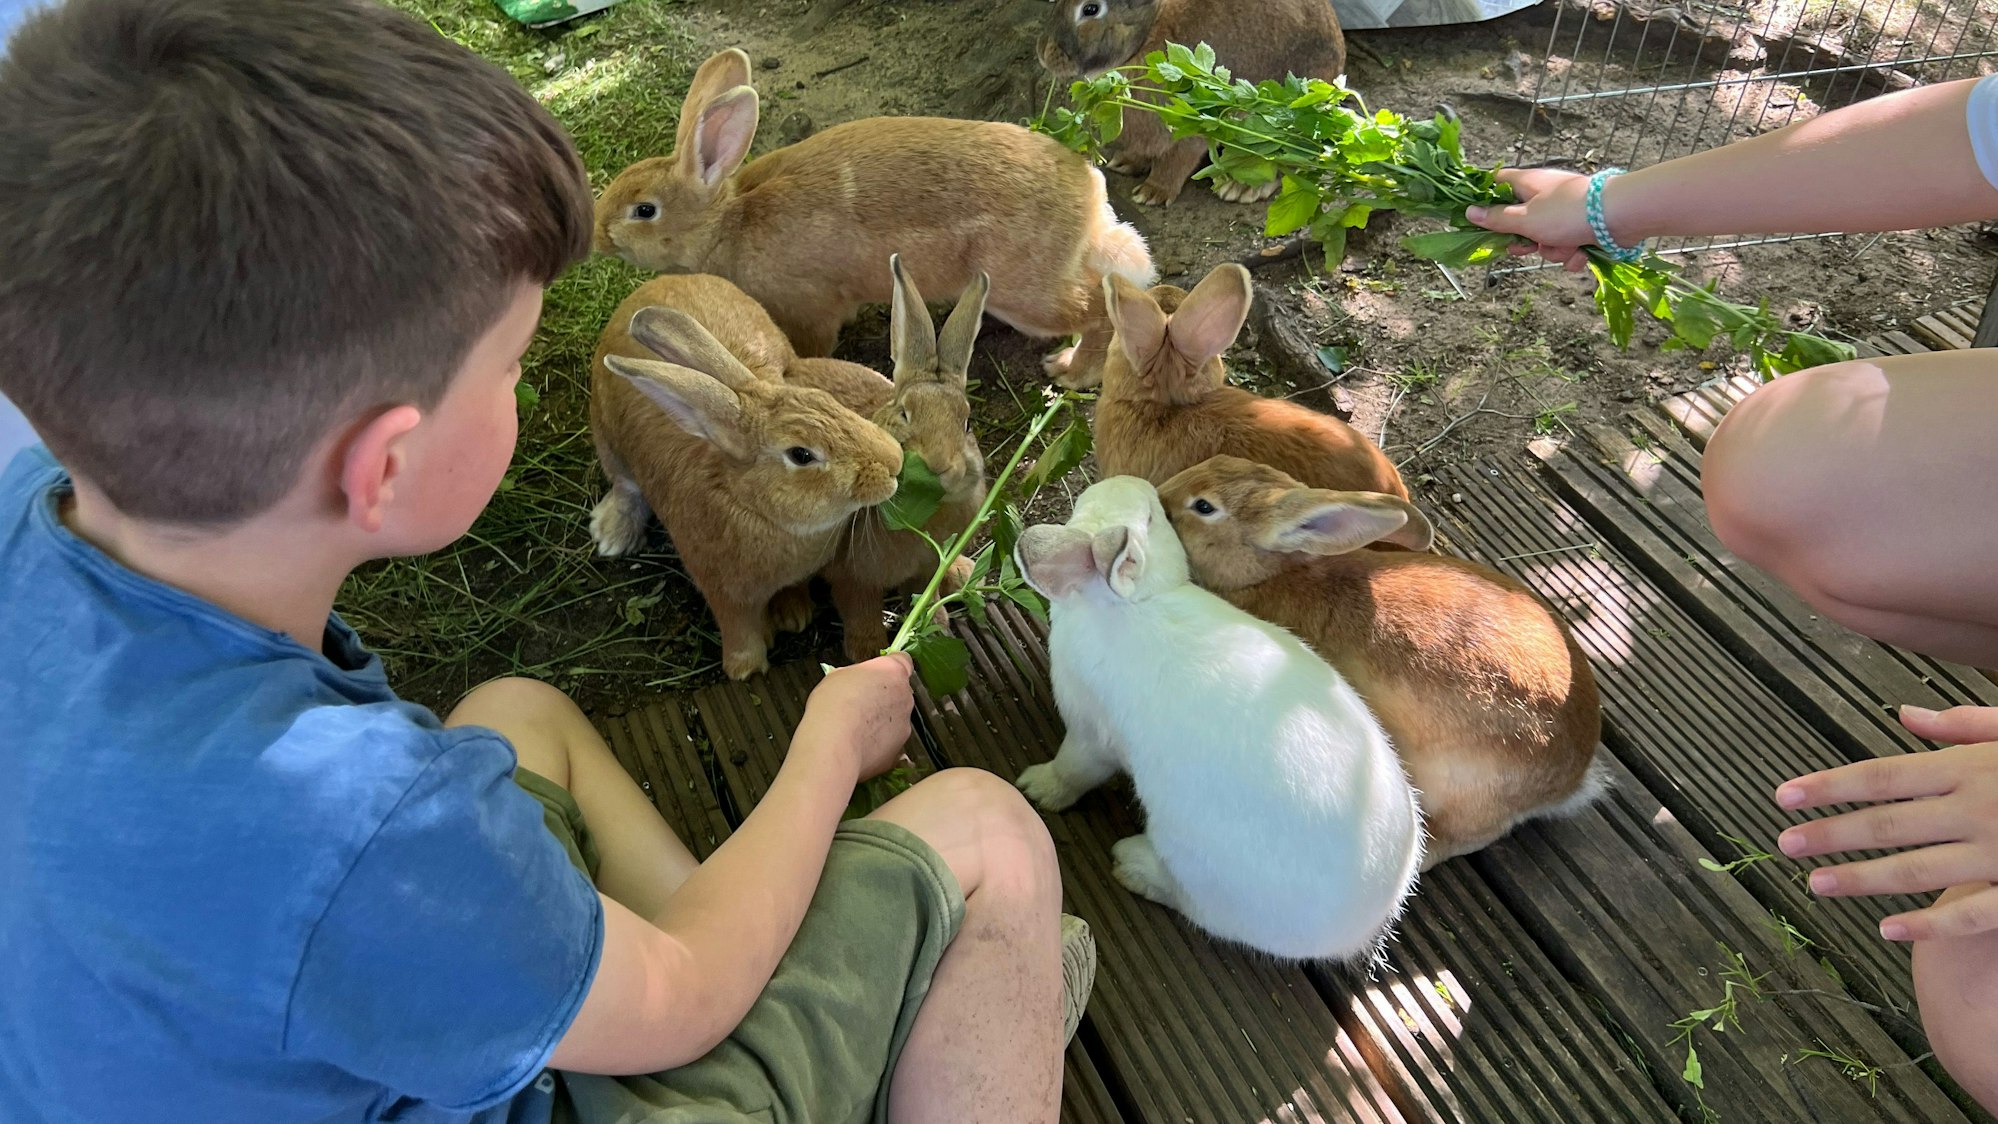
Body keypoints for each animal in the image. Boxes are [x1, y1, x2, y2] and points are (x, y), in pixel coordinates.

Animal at [588, 274, 903, 680]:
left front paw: (792, 613)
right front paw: (746, 669)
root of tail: (654, 284)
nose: (894, 460)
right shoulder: (724, 591)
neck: (751, 504)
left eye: (826, 399)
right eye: (801, 454)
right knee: (625, 488)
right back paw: (612, 535)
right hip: (608, 441)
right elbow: (739, 628)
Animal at [594, 47, 1157, 388]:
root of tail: (1088, 193)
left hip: (1026, 291)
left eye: (644, 210)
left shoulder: (808, 307)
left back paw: (1069, 371)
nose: (599, 237)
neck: (726, 220)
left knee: (1099, 311)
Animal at [788, 255, 993, 662]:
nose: (938, 465)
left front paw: (936, 627)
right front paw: (868, 653)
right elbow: (860, 609)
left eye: (966, 421)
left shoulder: (925, 567)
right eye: (904, 414)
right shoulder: (853, 575)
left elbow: (924, 594)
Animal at [1012, 475, 1423, 962]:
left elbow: (1072, 772)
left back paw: (1132, 864)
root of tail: (1366, 925)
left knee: (1190, 901)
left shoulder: (1090, 735)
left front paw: (1034, 788)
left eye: (1149, 518)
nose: (1138, 482)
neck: (1133, 603)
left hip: (1198, 869)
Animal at [1038, 0, 1345, 206]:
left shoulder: (1191, 124)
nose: (1042, 52)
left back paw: (1240, 188)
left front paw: (1153, 193)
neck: (1146, 35)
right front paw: (1125, 162)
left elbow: (1177, 159)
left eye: (1090, 9)